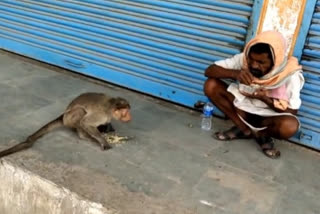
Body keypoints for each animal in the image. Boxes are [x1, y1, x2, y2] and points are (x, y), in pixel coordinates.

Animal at [0, 92, 131, 157]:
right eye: (126, 112)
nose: (130, 117)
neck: (111, 105)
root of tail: (63, 115)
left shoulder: (107, 116)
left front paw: (109, 129)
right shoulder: (102, 114)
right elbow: (85, 122)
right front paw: (103, 141)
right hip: (69, 119)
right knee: (80, 113)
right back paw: (84, 136)